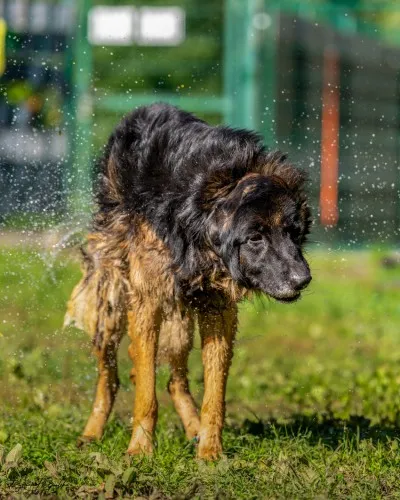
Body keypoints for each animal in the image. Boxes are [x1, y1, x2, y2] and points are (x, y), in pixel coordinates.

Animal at [64, 102, 310, 460]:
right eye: (255, 237)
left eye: (292, 232)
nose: (303, 280)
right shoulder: (147, 301)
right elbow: (146, 395)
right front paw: (140, 451)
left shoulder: (217, 308)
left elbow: (214, 394)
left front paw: (210, 452)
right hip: (111, 307)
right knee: (111, 377)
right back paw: (91, 434)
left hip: (179, 326)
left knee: (174, 381)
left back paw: (194, 431)